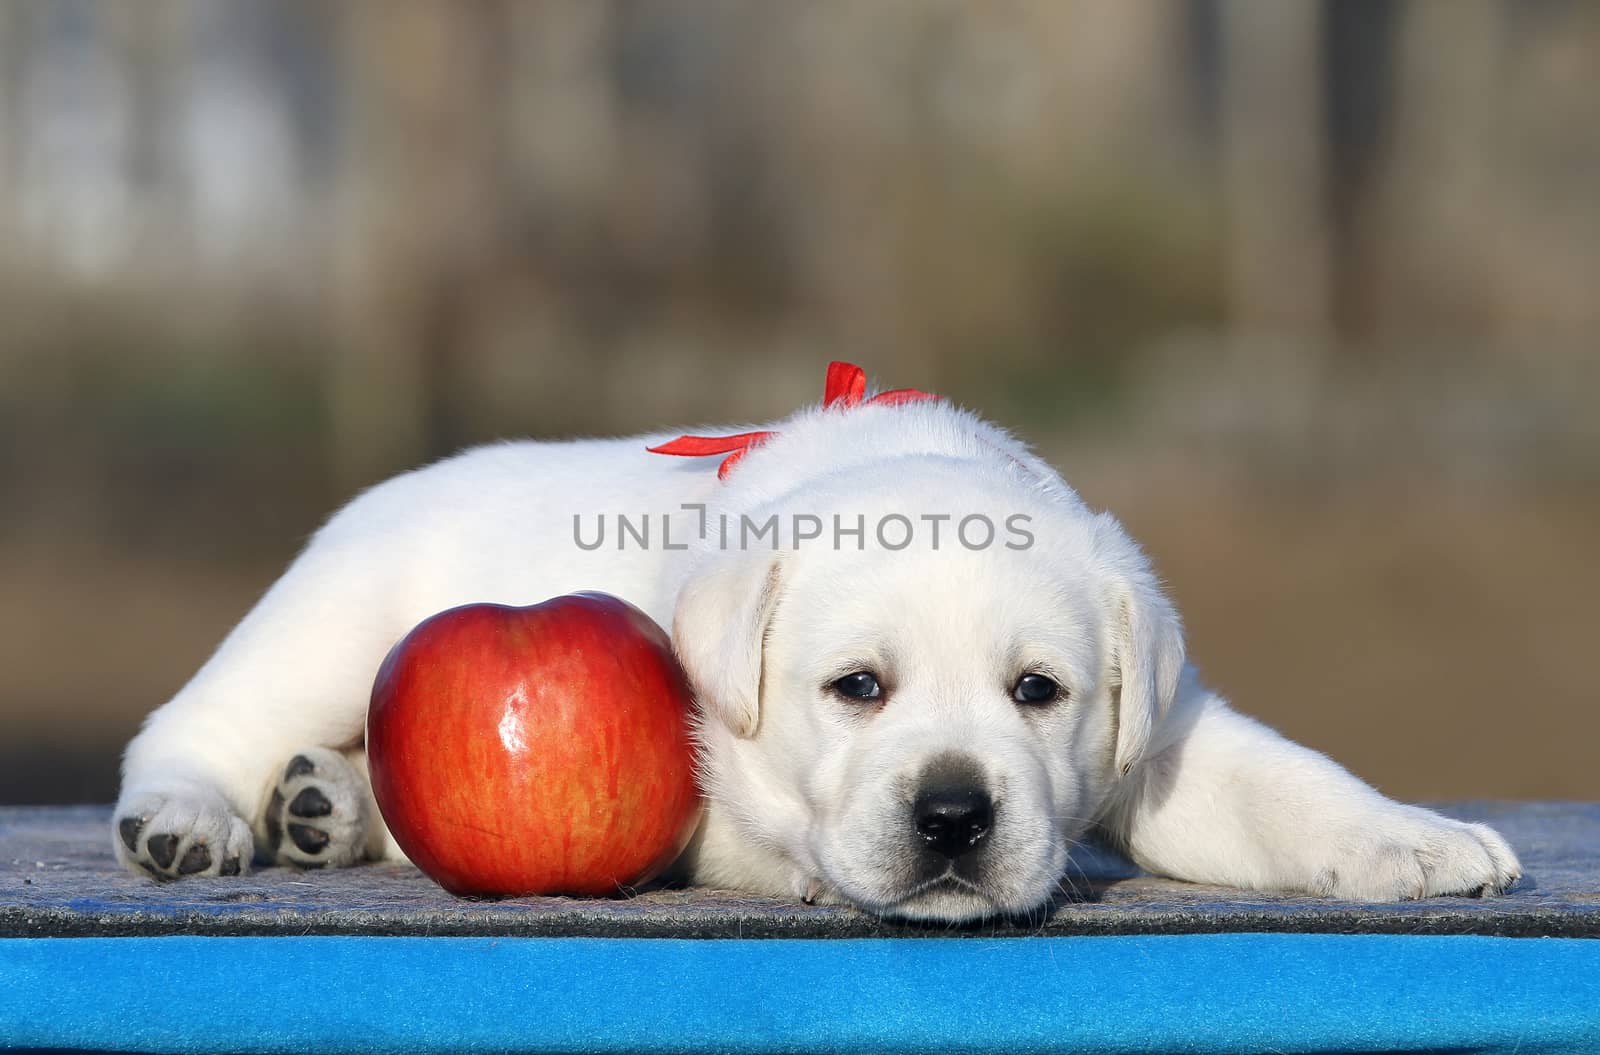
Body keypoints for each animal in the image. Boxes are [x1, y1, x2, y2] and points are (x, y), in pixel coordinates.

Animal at [112, 358, 1510, 922]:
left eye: (1039, 690)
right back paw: (190, 816)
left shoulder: (1162, 736)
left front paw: (1414, 841)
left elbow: (1281, 785)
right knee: (198, 719)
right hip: (331, 617)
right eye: (857, 687)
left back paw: (324, 803)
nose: (953, 816)